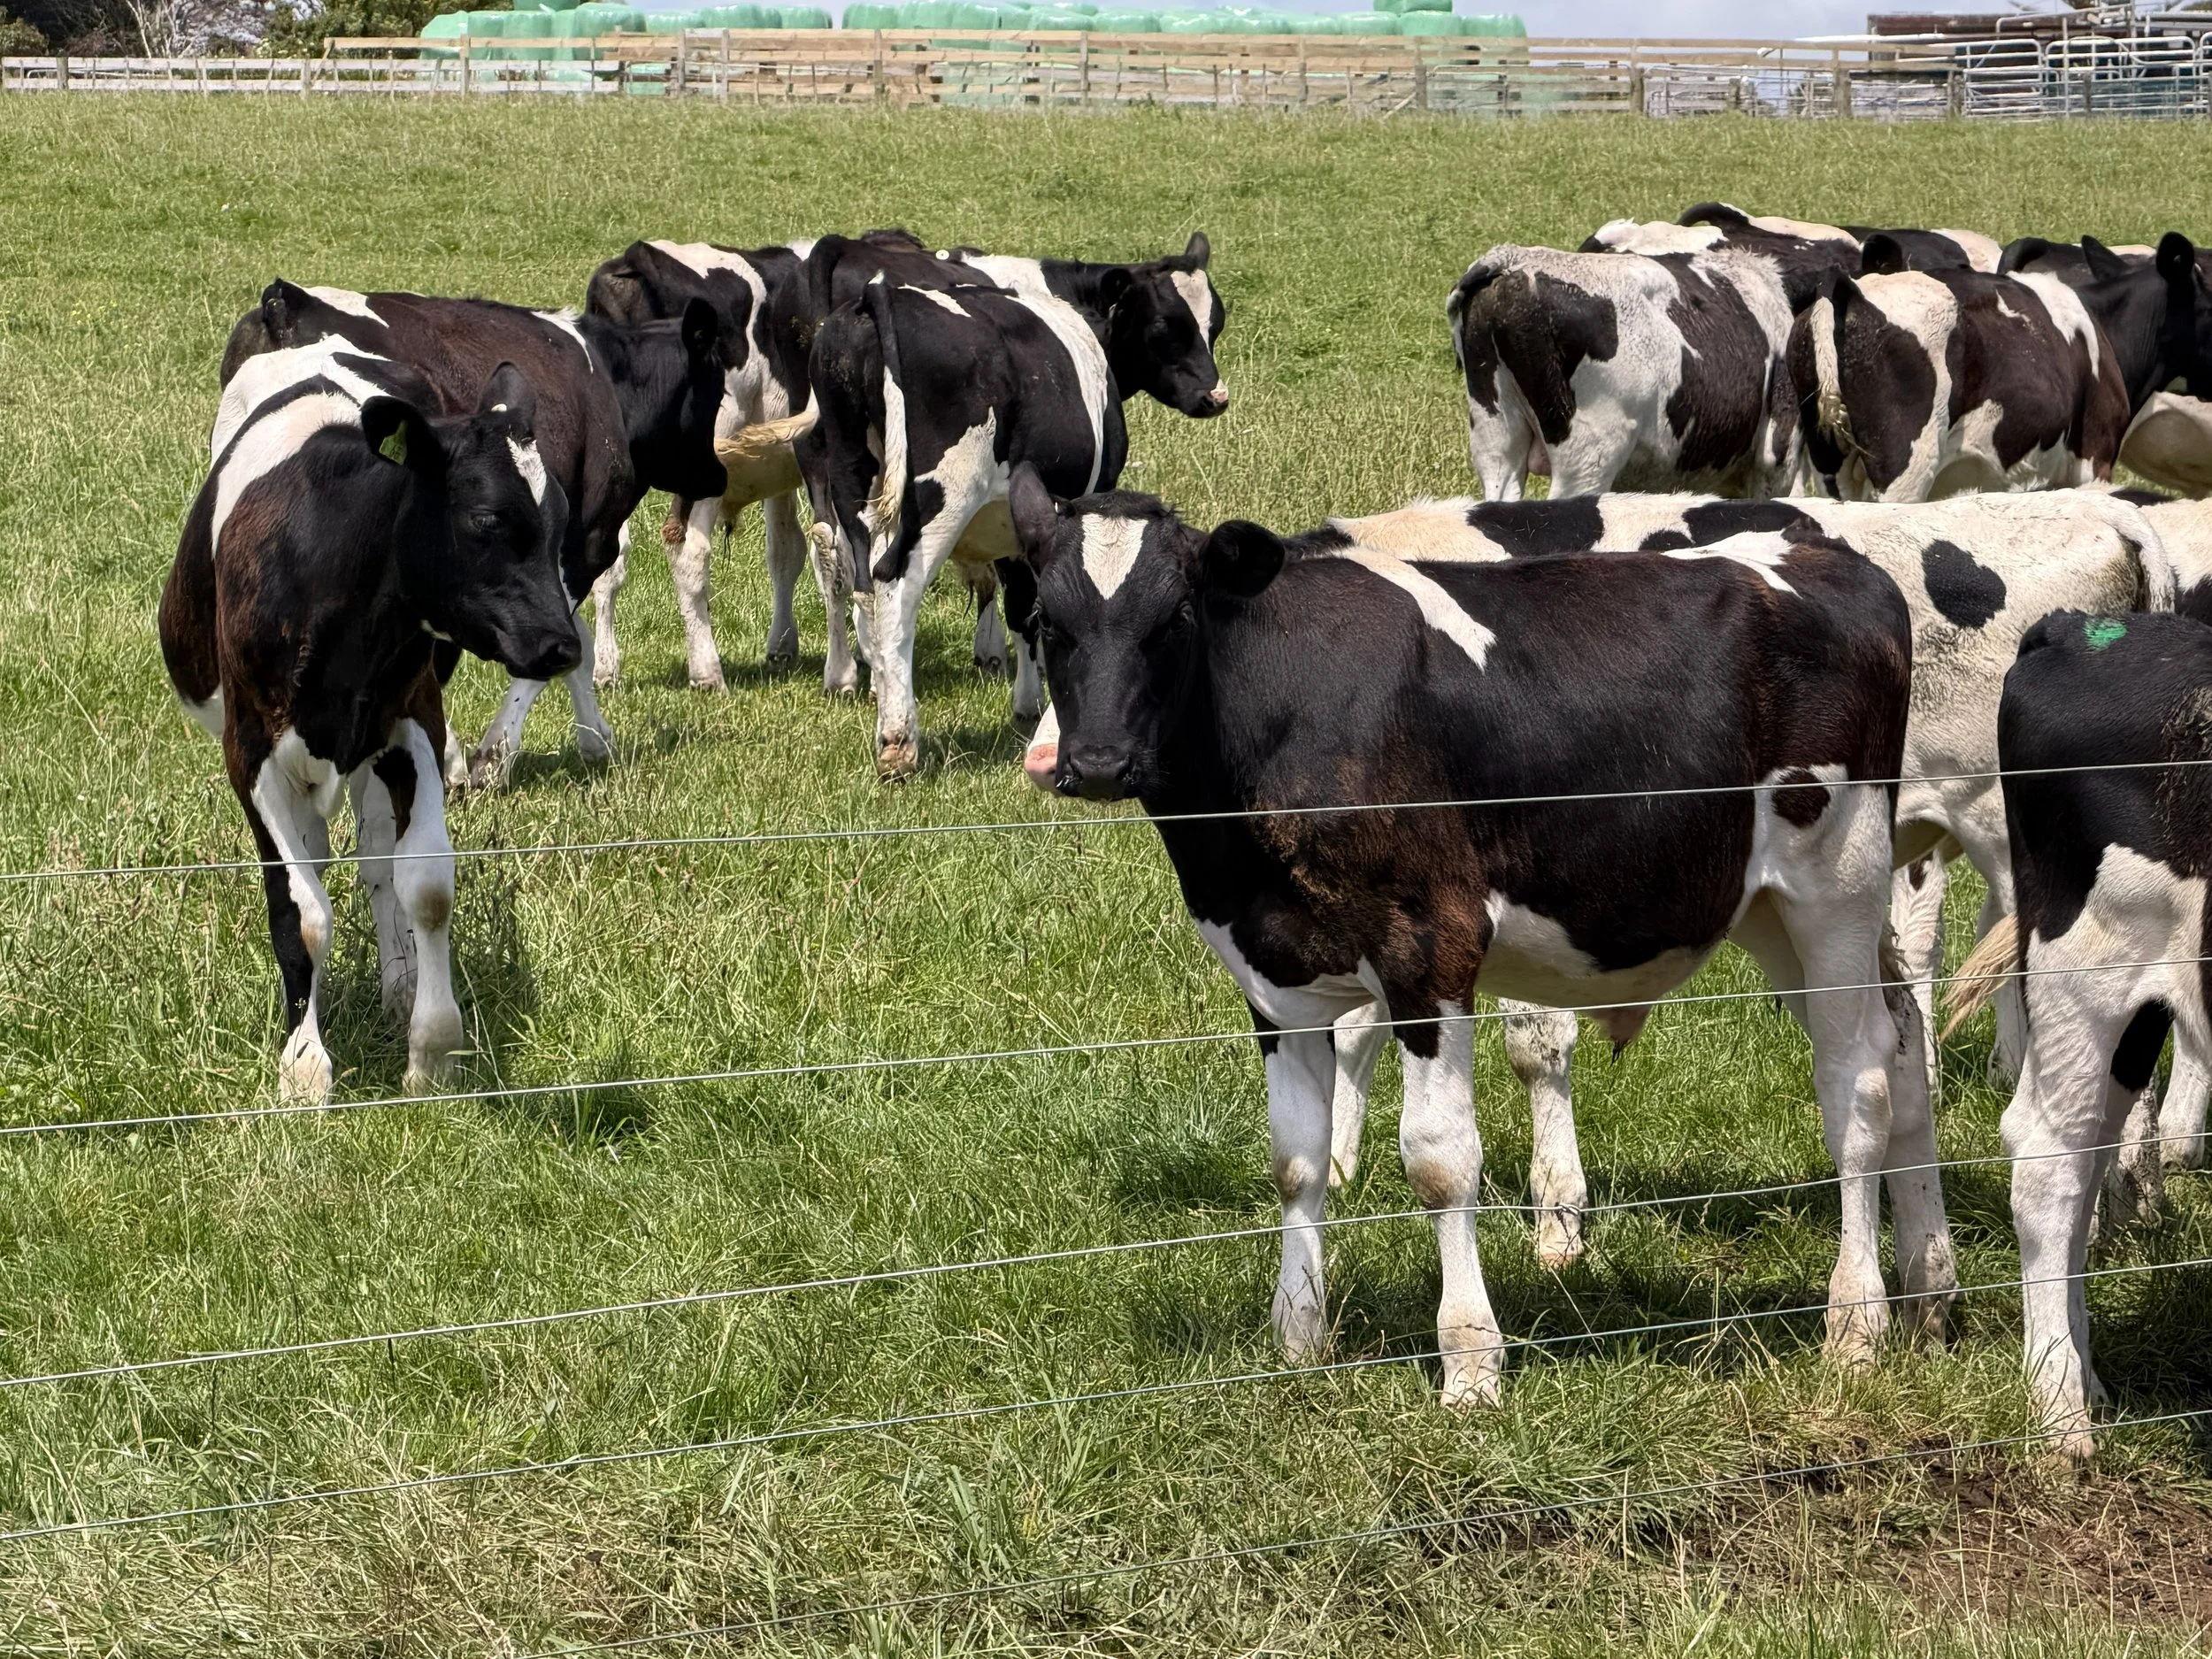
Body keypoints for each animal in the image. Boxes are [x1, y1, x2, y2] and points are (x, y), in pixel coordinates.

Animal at [159, 342, 578, 1105]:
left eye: (561, 519)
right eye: (486, 520)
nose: (563, 645)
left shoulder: (412, 721)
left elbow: (427, 886)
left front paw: (433, 1046)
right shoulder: (250, 752)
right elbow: (301, 910)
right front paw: (303, 1064)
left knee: (379, 859)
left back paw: (401, 980)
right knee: (318, 859)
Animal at [220, 278, 729, 788]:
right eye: (715, 391)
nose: (719, 475)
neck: (606, 376)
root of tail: (286, 300)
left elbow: (575, 644)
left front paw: (595, 738)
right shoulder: (582, 546)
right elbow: (551, 652)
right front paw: (493, 758)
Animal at [802, 252, 1228, 779]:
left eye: (1215, 323)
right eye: (1166, 325)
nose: (1216, 396)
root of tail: (879, 294)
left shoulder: (1009, 517)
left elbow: (1021, 601)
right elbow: (1037, 601)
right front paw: (1034, 702)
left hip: (850, 481)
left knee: (857, 578)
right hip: (938, 502)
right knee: (894, 588)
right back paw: (899, 742)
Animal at [1006, 465, 1957, 1405]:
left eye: (1175, 618)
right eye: (1048, 622)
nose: (1095, 763)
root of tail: (1835, 559)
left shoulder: (1430, 946)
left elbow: (1439, 1161)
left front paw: (1469, 1360)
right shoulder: (1273, 977)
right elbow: (1296, 1159)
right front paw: (1300, 1337)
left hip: (1836, 882)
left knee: (1858, 1084)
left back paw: (1857, 1322)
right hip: (1768, 912)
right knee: (1905, 1049)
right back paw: (1929, 1288)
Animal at [1944, 608, 2212, 1458]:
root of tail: (2080, 627)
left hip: (2142, 1007)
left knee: (2090, 1148)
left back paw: (2085, 1378)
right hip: (2087, 965)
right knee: (2047, 1160)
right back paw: (2060, 1406)